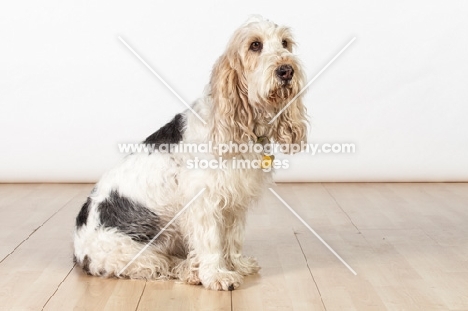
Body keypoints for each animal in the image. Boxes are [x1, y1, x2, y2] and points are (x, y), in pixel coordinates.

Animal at [72, 15, 308, 292]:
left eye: (285, 43)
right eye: (255, 45)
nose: (286, 70)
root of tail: (78, 251)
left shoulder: (234, 202)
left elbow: (233, 238)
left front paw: (237, 265)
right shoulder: (204, 202)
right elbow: (211, 242)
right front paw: (217, 275)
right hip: (136, 253)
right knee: (162, 265)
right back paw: (191, 271)